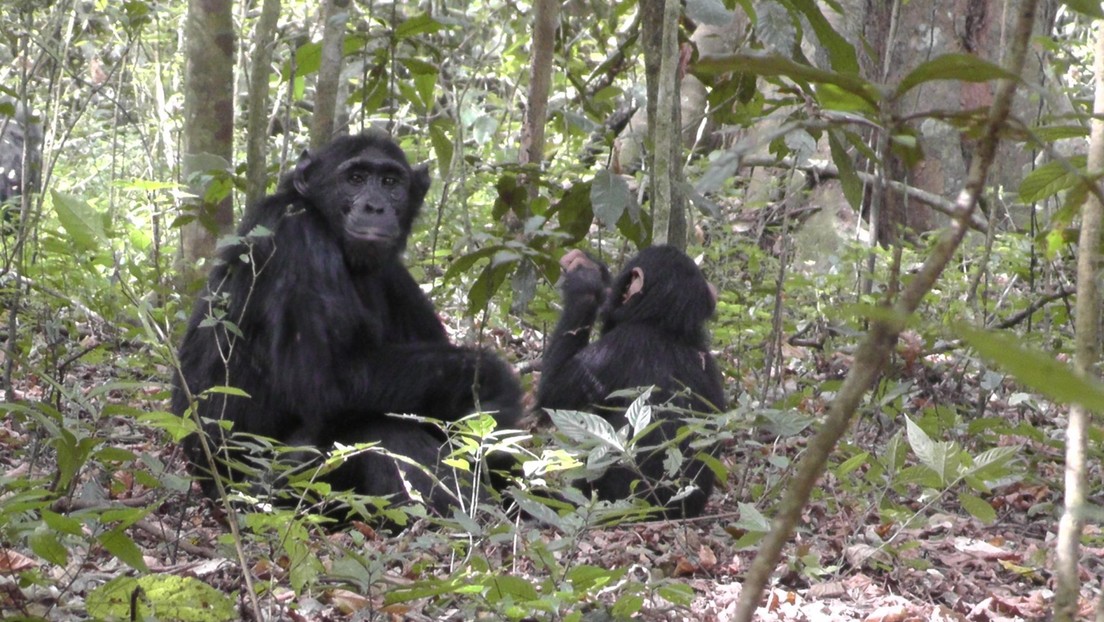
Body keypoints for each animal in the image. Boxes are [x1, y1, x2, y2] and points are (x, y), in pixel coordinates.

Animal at [173, 131, 525, 521]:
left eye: (390, 182)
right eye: (355, 178)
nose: (375, 206)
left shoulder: (394, 275)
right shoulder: (299, 242)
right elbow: (328, 381)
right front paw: (493, 375)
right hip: (266, 496)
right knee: (380, 429)